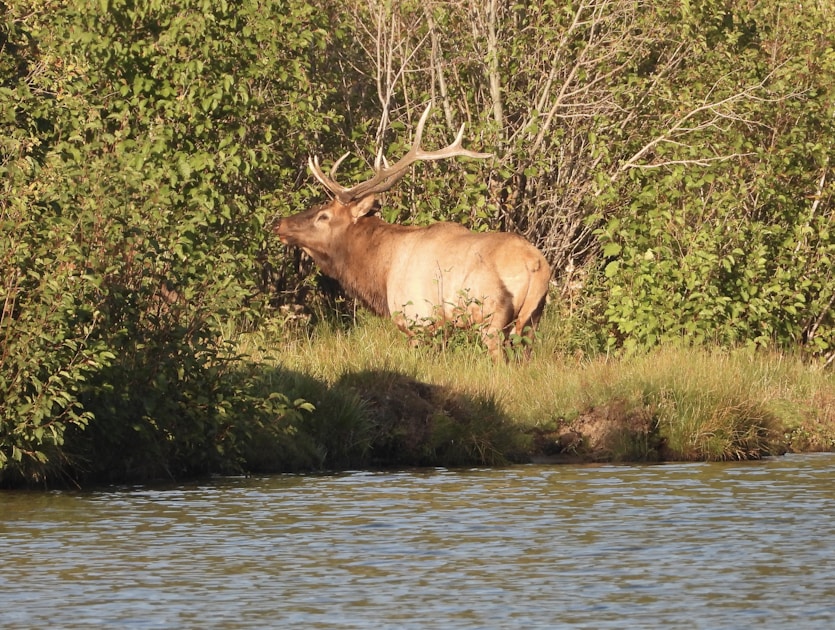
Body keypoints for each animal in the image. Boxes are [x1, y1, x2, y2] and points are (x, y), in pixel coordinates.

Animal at [275, 104, 551, 360]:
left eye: (324, 216)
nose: (280, 224)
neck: (380, 272)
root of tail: (534, 264)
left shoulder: (418, 320)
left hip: (490, 317)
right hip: (532, 321)